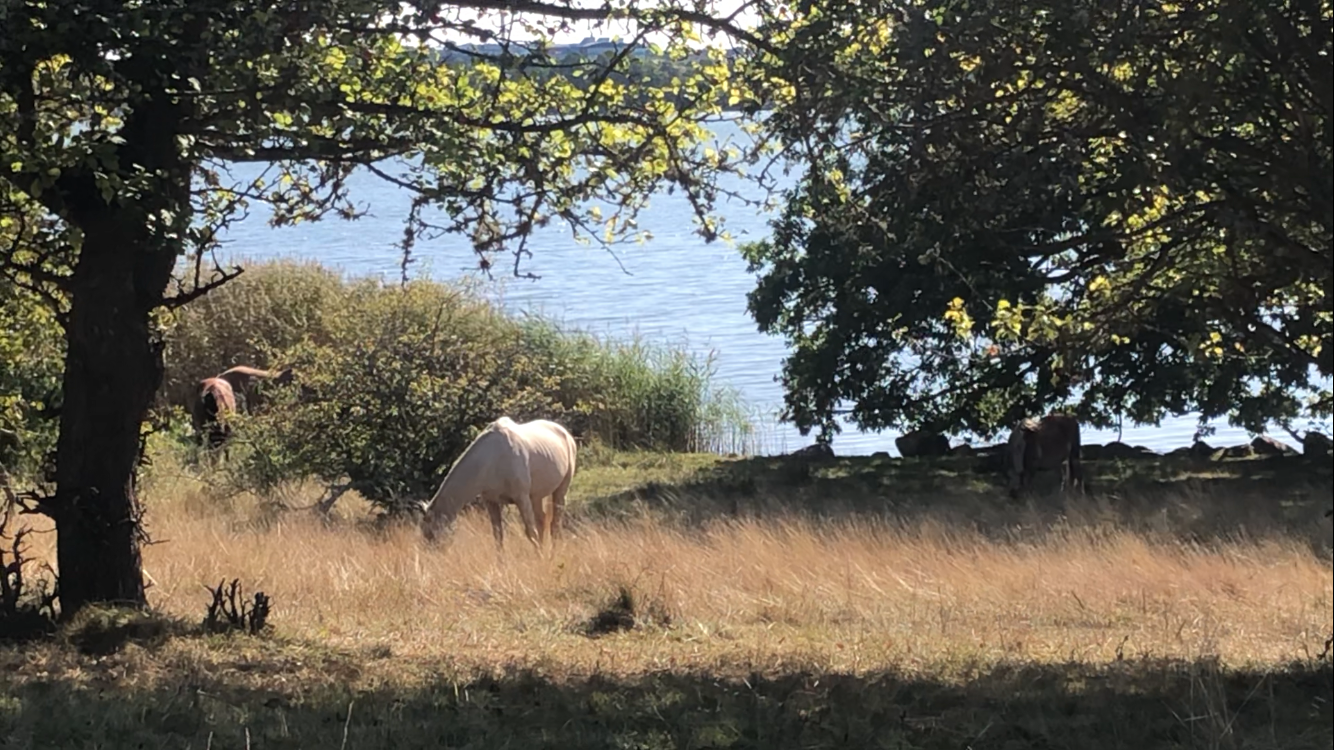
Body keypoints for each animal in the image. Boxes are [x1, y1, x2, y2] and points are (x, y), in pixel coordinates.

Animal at [420, 417, 577, 552]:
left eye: (432, 534)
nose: (434, 557)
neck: (493, 459)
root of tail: (565, 434)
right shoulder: (491, 502)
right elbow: (498, 536)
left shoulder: (521, 499)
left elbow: (530, 532)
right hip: (536, 497)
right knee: (542, 520)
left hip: (560, 491)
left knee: (555, 524)